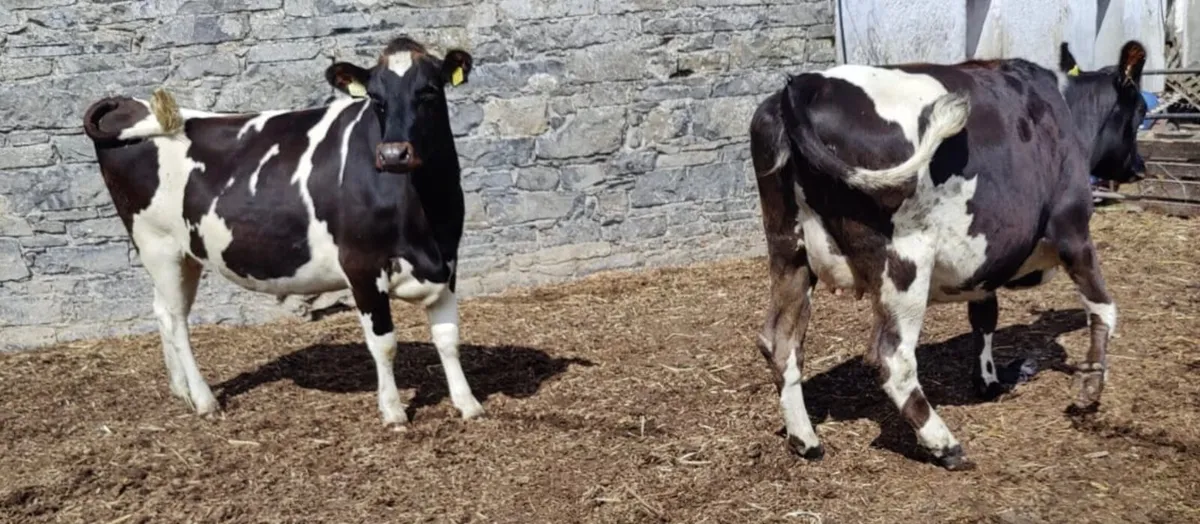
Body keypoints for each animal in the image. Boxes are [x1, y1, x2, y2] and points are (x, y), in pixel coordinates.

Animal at [80, 36, 482, 428]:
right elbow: (384, 343)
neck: (425, 218)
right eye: (375, 98)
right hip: (157, 243)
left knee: (162, 310)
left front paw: (468, 403)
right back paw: (205, 401)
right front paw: (393, 412)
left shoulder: (448, 261)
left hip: (182, 253)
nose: (394, 154)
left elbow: (448, 336)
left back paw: (182, 391)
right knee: (176, 320)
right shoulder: (362, 267)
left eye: (429, 91)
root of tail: (129, 104)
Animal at [748, 40, 1147, 469]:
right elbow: (1103, 307)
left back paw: (805, 440)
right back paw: (944, 444)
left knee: (781, 342)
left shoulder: (987, 258)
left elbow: (985, 317)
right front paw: (1091, 385)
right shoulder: (1073, 231)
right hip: (905, 262)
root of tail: (806, 84)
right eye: (1140, 112)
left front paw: (988, 380)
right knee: (892, 358)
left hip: (789, 251)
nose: (1139, 169)